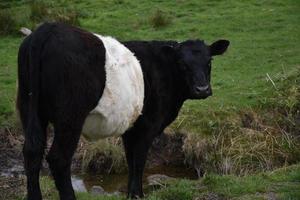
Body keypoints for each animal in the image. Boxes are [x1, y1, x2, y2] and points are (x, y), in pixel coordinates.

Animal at [17, 22, 229, 200]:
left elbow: (130, 160)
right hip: (70, 116)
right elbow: (139, 161)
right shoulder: (148, 125)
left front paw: (131, 194)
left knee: (32, 152)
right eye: (182, 64)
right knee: (59, 158)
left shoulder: (131, 127)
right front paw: (138, 195)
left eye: (209, 61)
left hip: (29, 107)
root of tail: (48, 28)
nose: (202, 89)